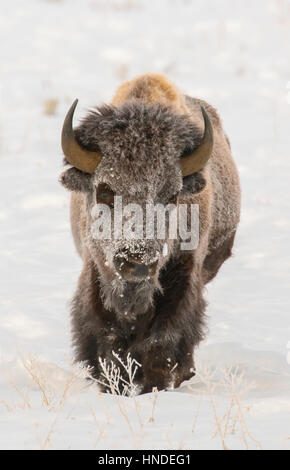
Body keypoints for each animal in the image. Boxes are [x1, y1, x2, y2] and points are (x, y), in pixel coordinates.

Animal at [59, 72, 240, 392]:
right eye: (104, 190)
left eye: (172, 195)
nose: (137, 261)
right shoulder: (96, 272)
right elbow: (107, 341)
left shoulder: (183, 276)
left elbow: (162, 342)